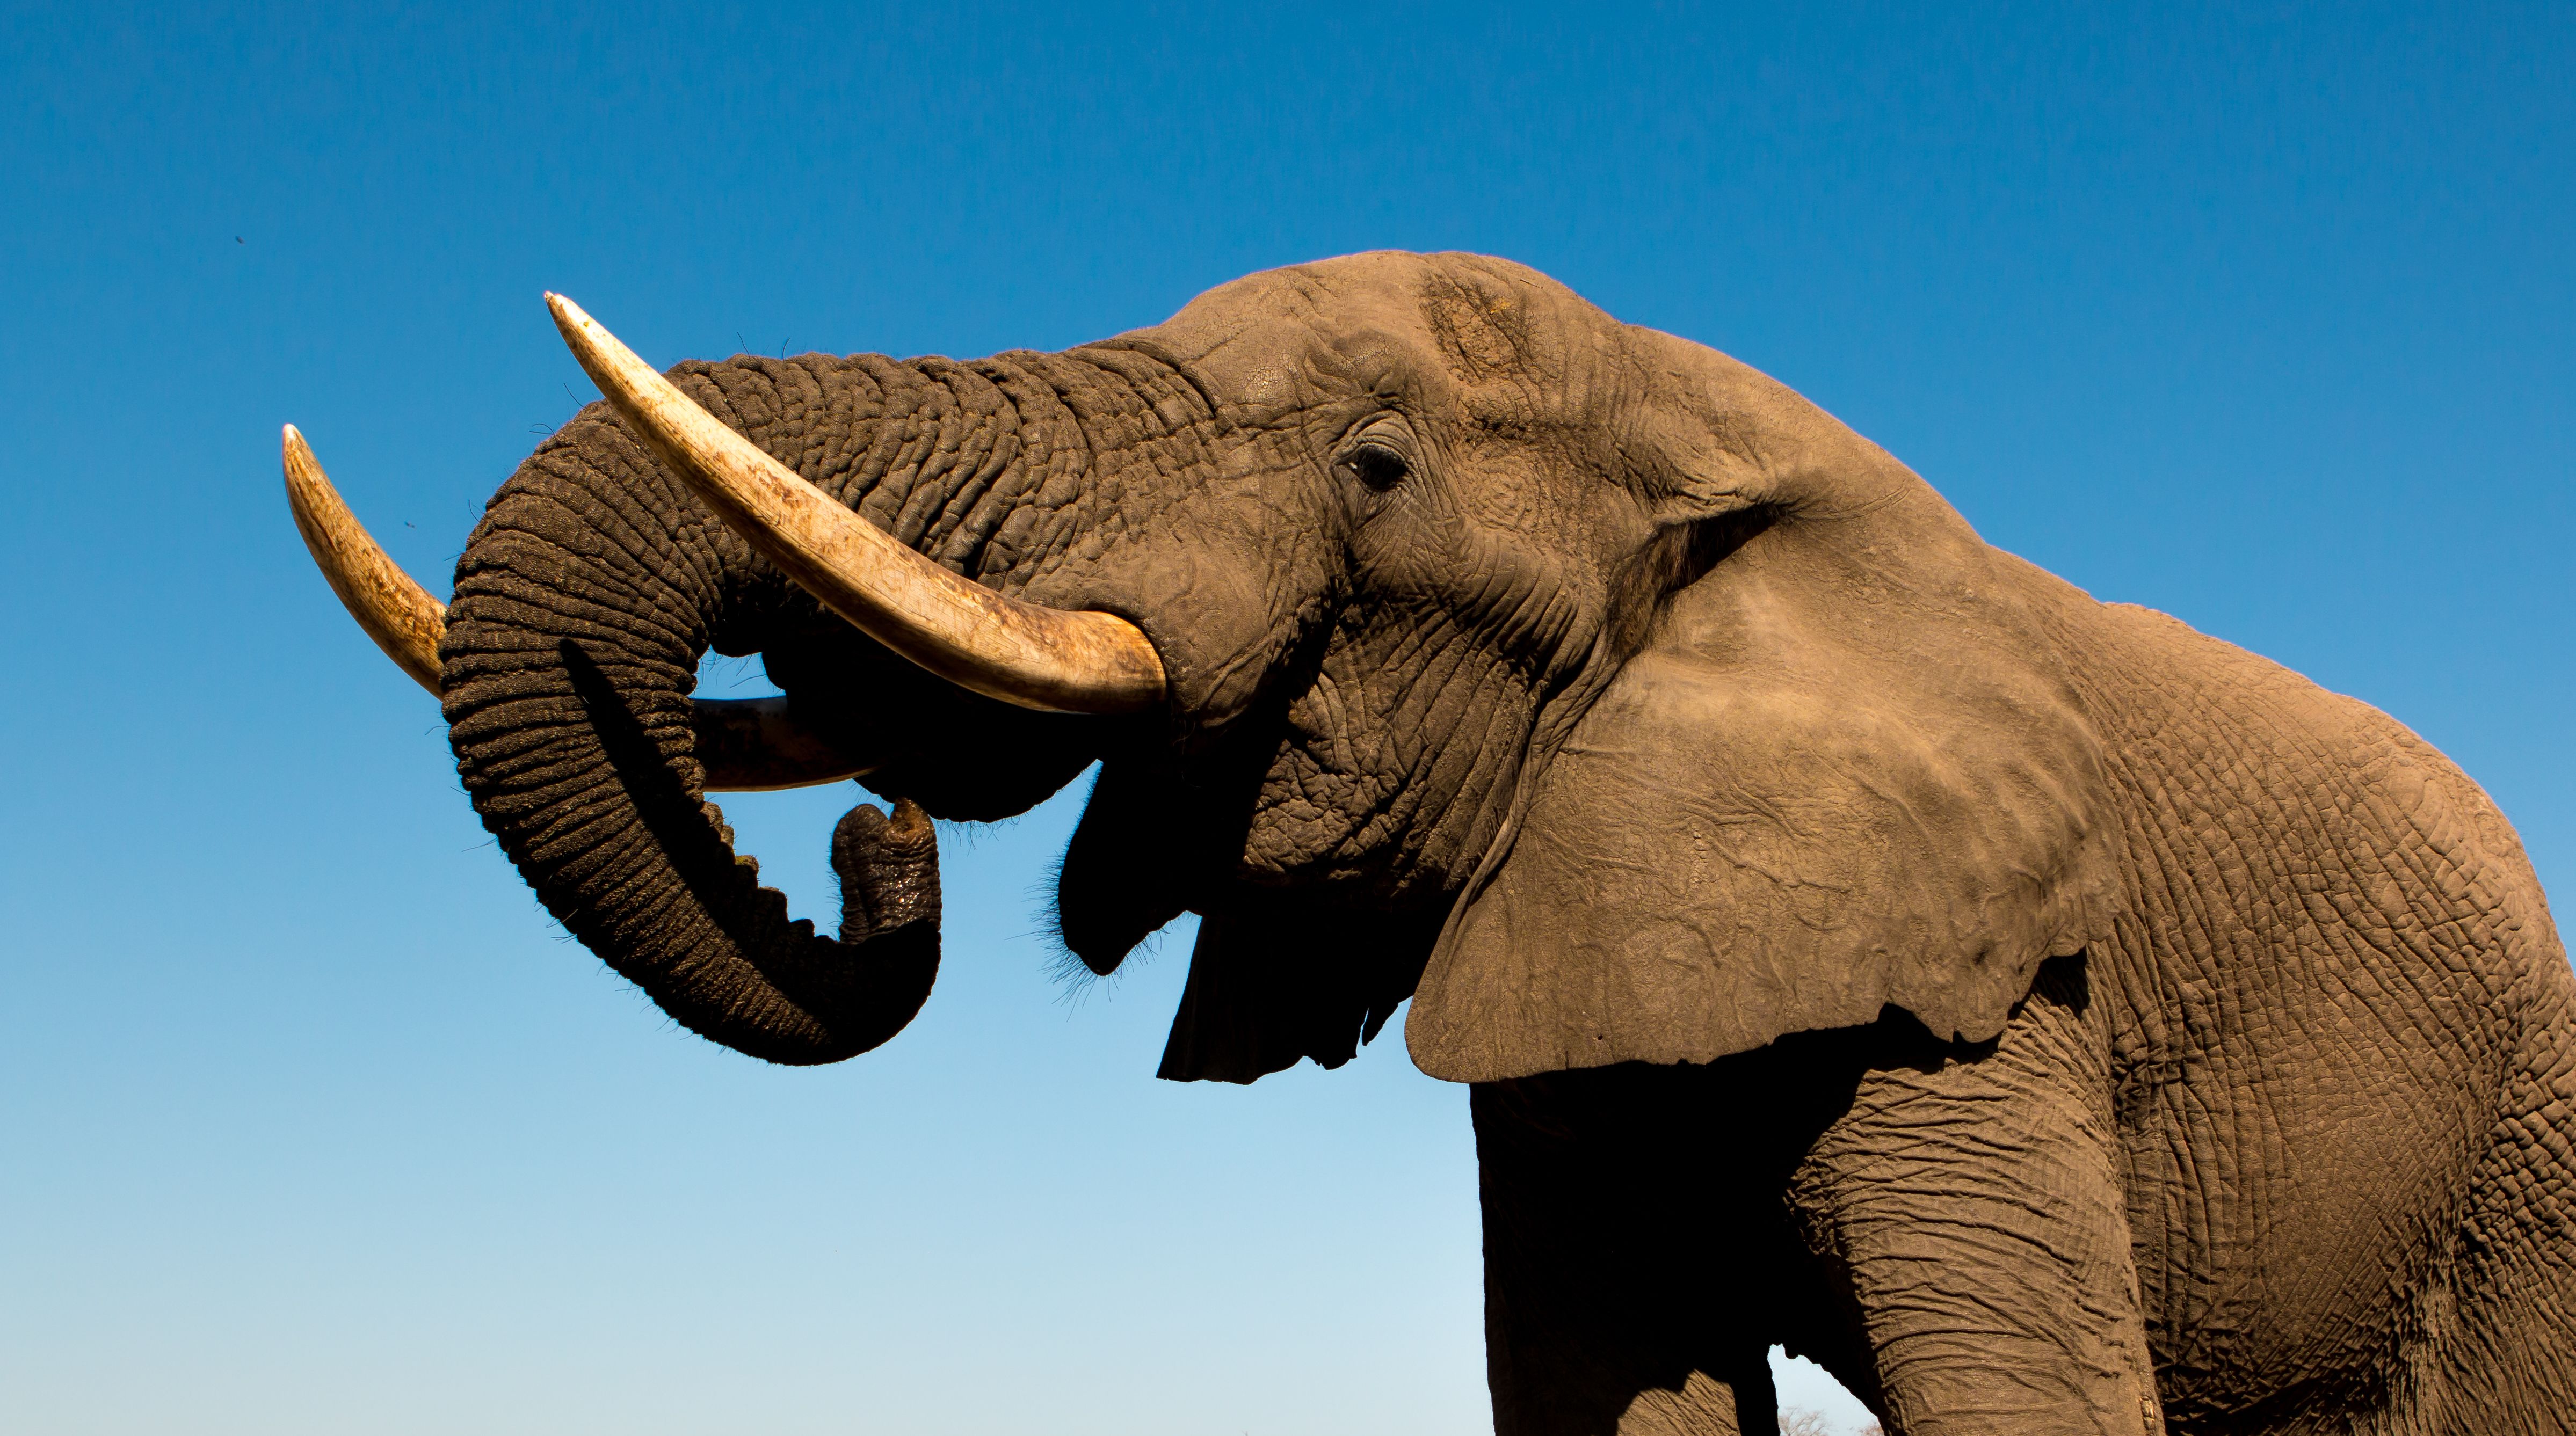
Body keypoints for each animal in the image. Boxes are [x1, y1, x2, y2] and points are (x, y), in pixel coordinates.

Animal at [284, 252, 2575, 1435]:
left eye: (1373, 466)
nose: (877, 836)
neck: (1707, 425)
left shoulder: (1991, 982)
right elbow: (1603, 1393)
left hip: (2522, 1148)